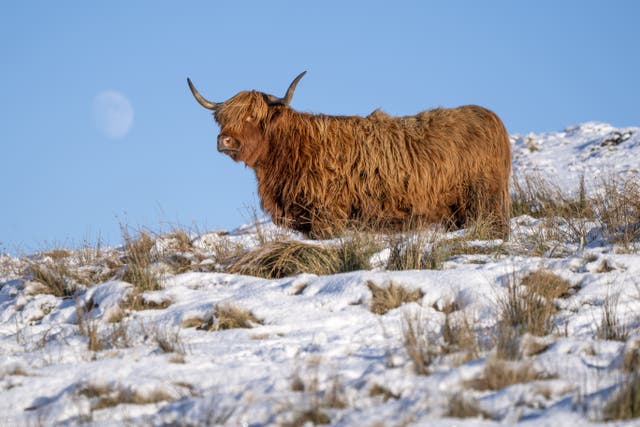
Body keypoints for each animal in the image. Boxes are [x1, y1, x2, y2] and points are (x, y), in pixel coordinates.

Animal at [188, 72, 512, 239]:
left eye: (253, 117)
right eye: (222, 119)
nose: (224, 140)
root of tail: (489, 117)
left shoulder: (326, 215)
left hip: (483, 203)